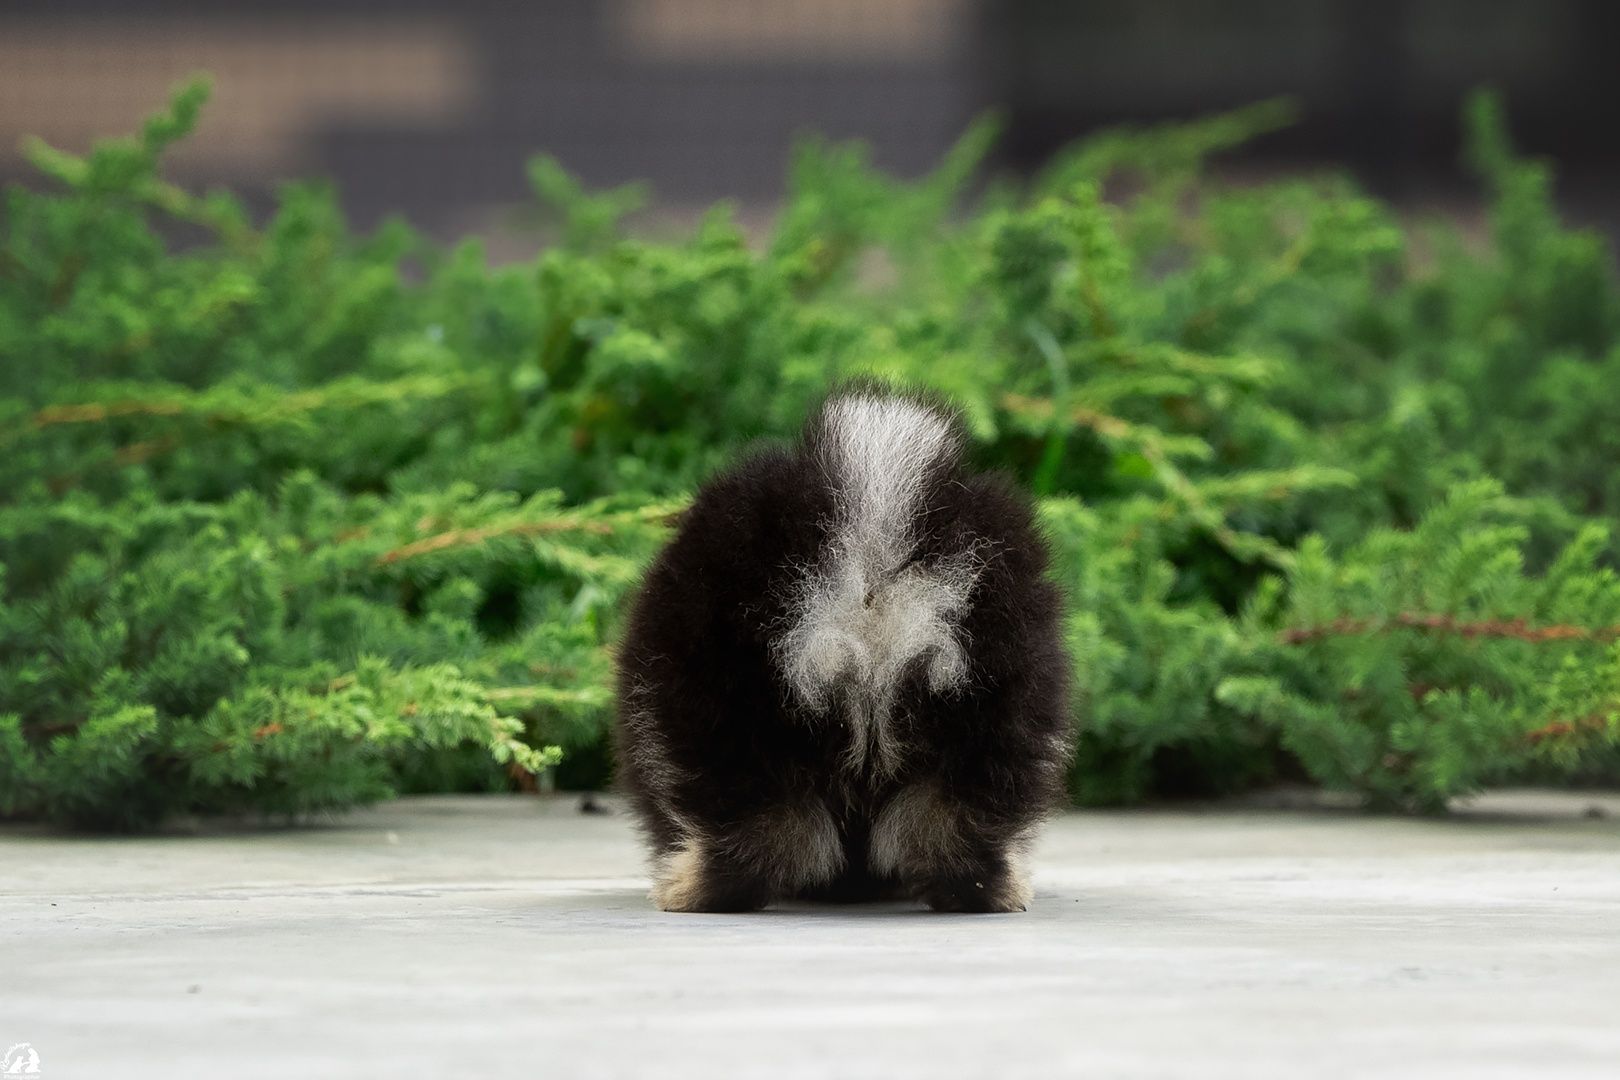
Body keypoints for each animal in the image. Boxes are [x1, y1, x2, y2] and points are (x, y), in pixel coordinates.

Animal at [618, 383, 1075, 906]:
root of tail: (869, 544)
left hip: (723, 698)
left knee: (762, 819)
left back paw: (694, 886)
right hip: (995, 689)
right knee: (952, 810)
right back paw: (979, 888)